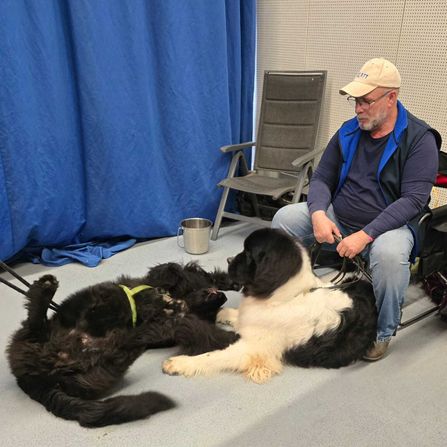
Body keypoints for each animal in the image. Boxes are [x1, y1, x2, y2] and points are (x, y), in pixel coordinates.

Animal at [7, 262, 239, 427]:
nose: (222, 296)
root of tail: (32, 378)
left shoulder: (179, 323)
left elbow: (201, 330)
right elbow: (170, 273)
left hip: (94, 374)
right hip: (34, 340)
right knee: (33, 325)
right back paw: (45, 291)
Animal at [162, 228, 377, 383]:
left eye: (248, 253)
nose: (228, 259)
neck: (284, 298)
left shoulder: (252, 350)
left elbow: (213, 356)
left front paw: (179, 363)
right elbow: (233, 314)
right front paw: (217, 313)